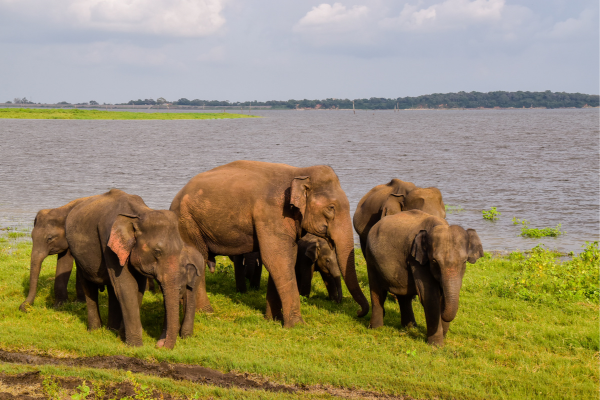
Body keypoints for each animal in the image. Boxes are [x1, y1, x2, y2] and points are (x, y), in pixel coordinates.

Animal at [64, 189, 203, 348]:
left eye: (181, 250)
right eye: (157, 252)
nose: (160, 345)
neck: (139, 214)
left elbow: (137, 288)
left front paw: (122, 336)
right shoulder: (109, 242)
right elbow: (127, 286)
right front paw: (135, 346)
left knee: (112, 289)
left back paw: (111, 330)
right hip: (78, 254)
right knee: (89, 284)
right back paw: (95, 330)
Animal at [171, 159, 370, 324]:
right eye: (331, 208)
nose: (358, 312)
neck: (300, 172)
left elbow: (285, 258)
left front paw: (273, 320)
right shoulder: (272, 213)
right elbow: (277, 258)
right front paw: (297, 325)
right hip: (187, 221)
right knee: (199, 259)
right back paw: (207, 312)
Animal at [360, 211, 482, 346]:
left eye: (464, 261)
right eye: (434, 262)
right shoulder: (416, 260)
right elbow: (429, 297)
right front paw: (436, 346)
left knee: (404, 295)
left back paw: (410, 327)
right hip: (371, 259)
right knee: (378, 291)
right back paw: (376, 328)